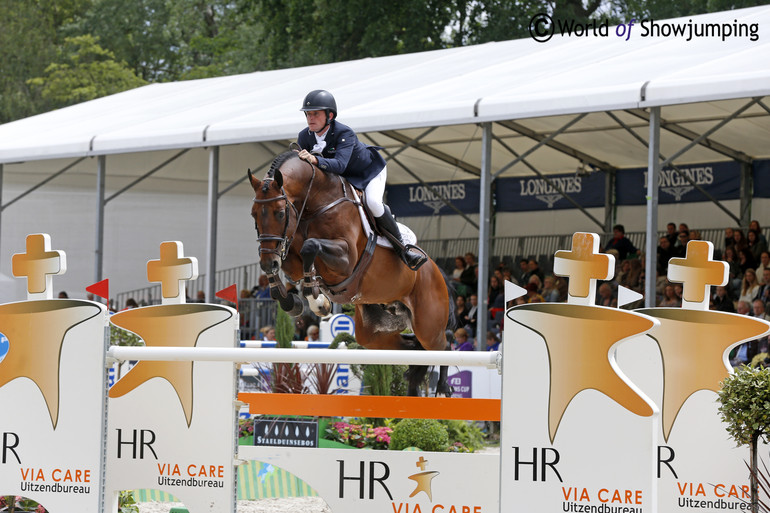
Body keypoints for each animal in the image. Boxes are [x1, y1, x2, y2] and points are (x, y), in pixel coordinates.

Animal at [246, 150, 452, 394]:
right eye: (253, 214)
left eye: (279, 213)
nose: (269, 263)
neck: (317, 201)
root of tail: (439, 272)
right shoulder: (290, 254)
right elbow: (293, 260)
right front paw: (295, 300)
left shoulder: (346, 260)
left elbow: (310, 246)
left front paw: (316, 300)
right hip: (375, 333)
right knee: (412, 348)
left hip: (428, 325)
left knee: (444, 345)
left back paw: (443, 387)